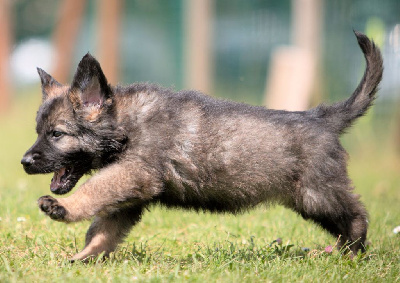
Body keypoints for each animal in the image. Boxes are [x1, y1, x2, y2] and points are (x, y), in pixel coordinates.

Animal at [21, 31, 382, 262]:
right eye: (39, 131)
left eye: (56, 134)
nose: (24, 162)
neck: (126, 124)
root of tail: (322, 117)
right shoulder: (129, 196)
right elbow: (102, 230)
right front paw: (82, 258)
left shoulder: (134, 174)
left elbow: (93, 192)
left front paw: (62, 208)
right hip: (312, 200)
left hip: (316, 195)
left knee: (356, 218)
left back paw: (350, 254)